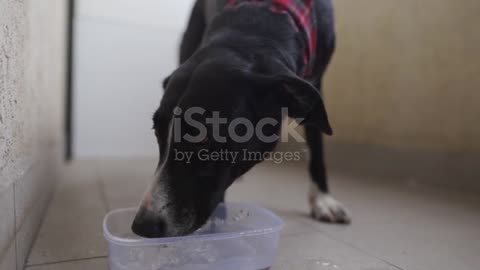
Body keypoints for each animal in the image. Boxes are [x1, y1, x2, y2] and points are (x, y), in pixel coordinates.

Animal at [131, 0, 348, 237]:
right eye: (156, 130)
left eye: (201, 137)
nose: (142, 226)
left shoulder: (316, 80)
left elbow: (316, 144)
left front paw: (323, 199)